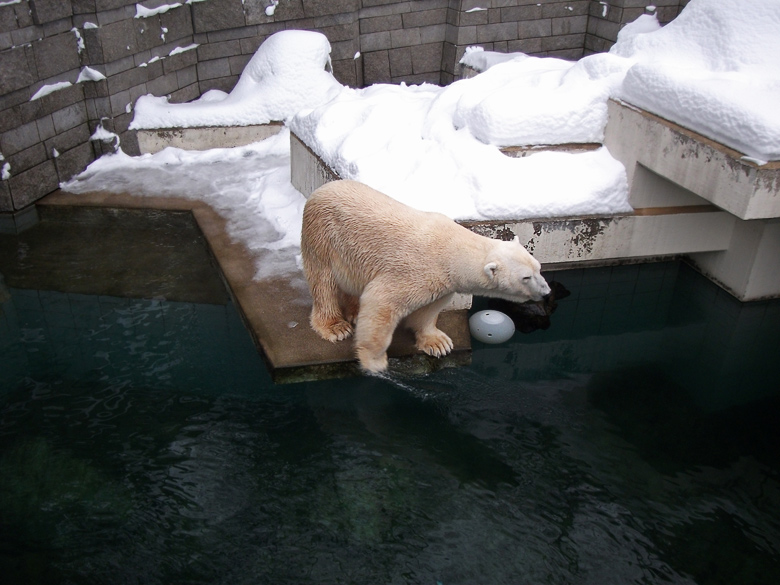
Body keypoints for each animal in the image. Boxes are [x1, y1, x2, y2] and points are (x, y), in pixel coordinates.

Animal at [298, 178, 548, 372]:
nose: (546, 291)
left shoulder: (443, 283)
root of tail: (321, 189)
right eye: (526, 277)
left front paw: (439, 343)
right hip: (324, 237)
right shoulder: (414, 270)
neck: (451, 249)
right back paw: (336, 326)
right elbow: (381, 300)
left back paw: (355, 313)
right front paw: (374, 360)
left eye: (538, 268)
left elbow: (428, 310)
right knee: (324, 282)